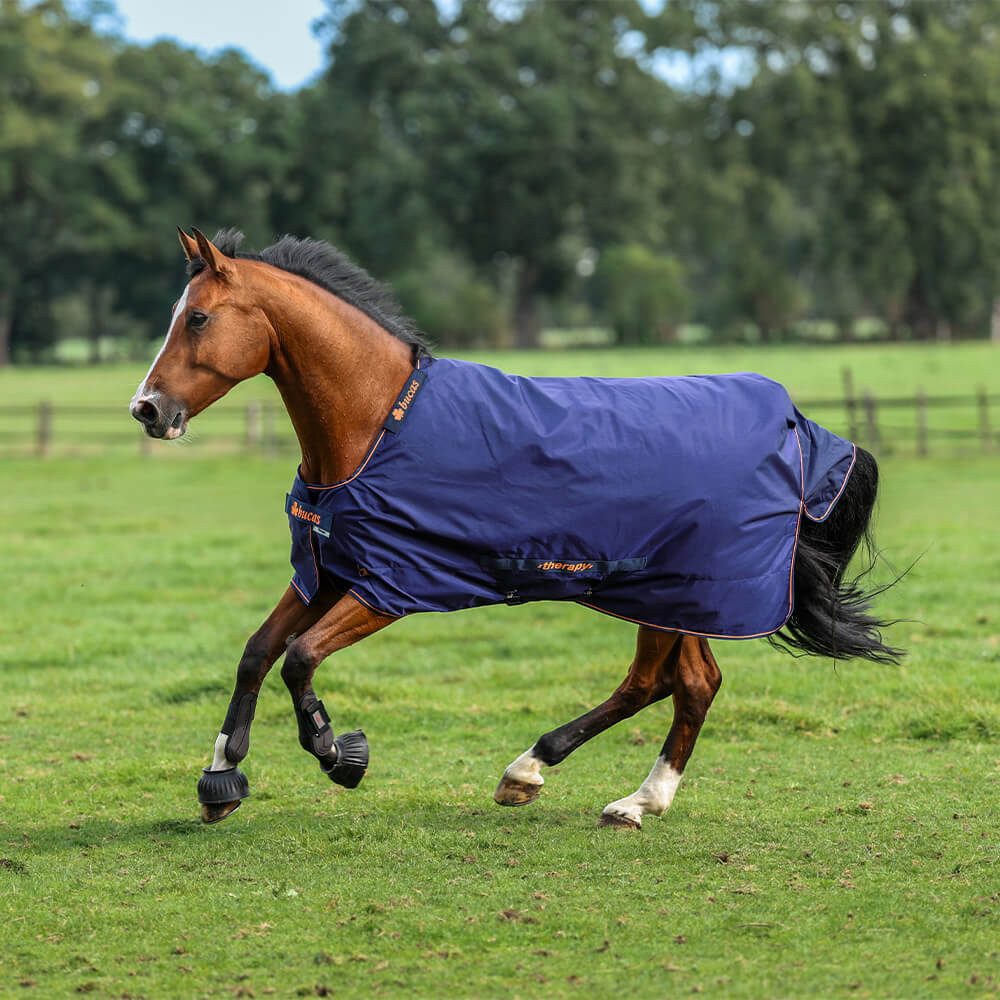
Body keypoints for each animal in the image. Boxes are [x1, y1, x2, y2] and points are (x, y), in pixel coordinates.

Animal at [130, 227, 901, 828]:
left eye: (197, 319)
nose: (148, 409)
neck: (377, 424)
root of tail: (796, 425)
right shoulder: (327, 570)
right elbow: (258, 653)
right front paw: (221, 777)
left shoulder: (389, 586)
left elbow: (299, 658)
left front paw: (340, 756)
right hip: (673, 596)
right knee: (680, 682)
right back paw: (586, 785)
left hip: (678, 590)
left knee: (671, 684)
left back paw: (602, 791)